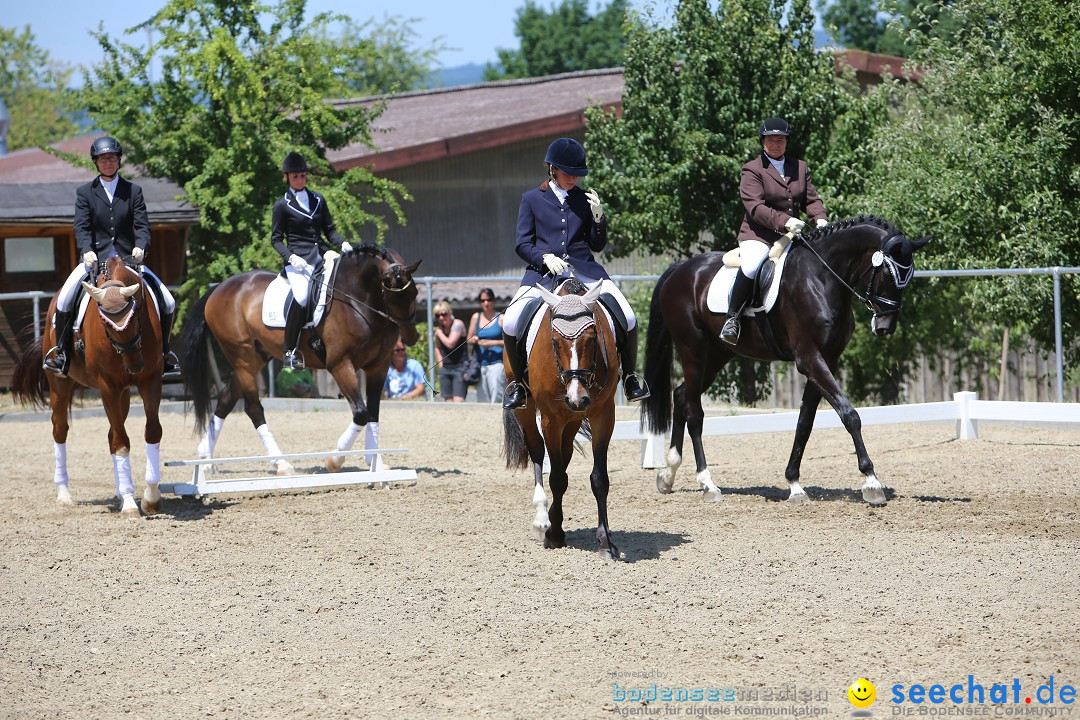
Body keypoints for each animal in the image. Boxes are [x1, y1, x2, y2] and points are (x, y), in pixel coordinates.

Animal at [11, 257, 166, 518]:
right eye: (103, 321)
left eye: (135, 314)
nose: (135, 365)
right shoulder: (108, 386)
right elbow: (121, 443)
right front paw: (130, 505)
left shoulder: (151, 380)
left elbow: (152, 432)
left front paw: (150, 499)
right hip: (60, 384)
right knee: (60, 430)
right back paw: (64, 494)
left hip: (123, 392)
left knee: (112, 433)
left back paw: (120, 491)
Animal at [183, 245, 419, 474]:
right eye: (390, 295)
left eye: (414, 293)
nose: (411, 337)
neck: (357, 299)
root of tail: (219, 288)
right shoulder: (340, 364)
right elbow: (361, 413)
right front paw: (335, 460)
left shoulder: (379, 366)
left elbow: (373, 413)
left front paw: (375, 461)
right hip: (242, 355)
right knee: (253, 408)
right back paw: (281, 463)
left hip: (257, 356)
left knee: (226, 399)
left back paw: (206, 459)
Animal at [501, 278, 622, 561]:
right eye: (555, 341)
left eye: (592, 337)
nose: (577, 398)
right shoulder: (551, 419)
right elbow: (555, 477)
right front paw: (554, 534)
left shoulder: (603, 415)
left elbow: (599, 479)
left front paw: (605, 542)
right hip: (528, 408)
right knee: (537, 451)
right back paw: (541, 520)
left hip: (573, 419)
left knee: (564, 457)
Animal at [639, 216, 928, 505]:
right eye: (888, 274)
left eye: (909, 277)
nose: (885, 327)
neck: (821, 277)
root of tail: (679, 269)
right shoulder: (809, 359)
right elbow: (850, 415)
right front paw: (871, 481)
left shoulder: (827, 360)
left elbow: (805, 422)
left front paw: (794, 484)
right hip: (693, 350)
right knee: (695, 413)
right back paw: (708, 484)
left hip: (717, 355)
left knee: (681, 396)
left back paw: (668, 475)